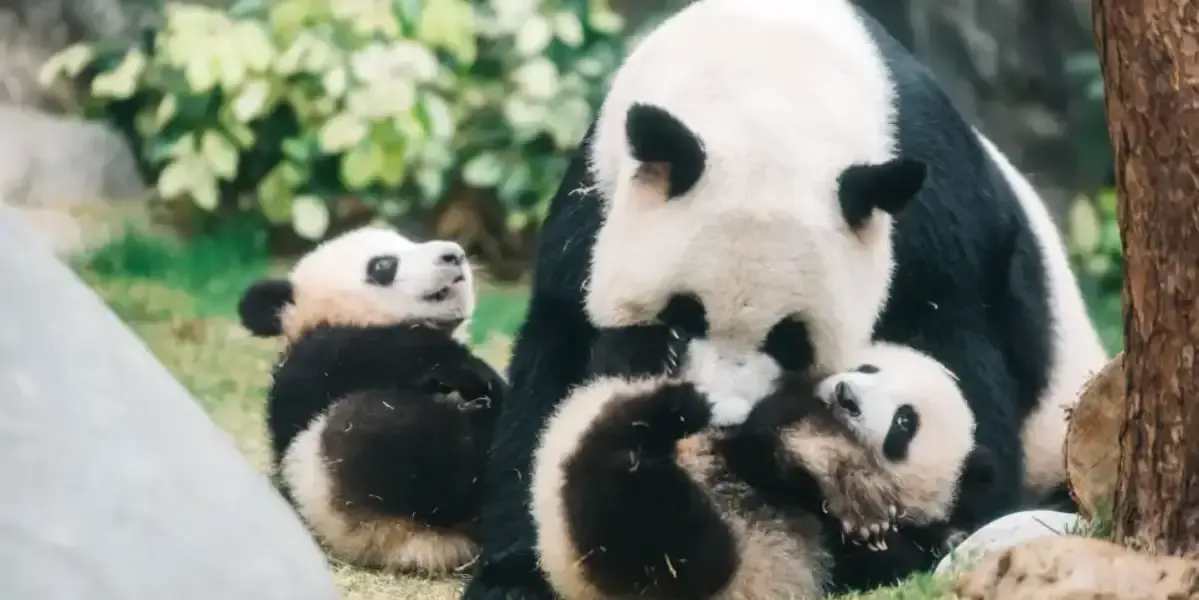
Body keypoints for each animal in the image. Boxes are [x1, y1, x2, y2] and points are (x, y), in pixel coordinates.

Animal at [237, 225, 507, 573]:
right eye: (383, 265)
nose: (453, 255)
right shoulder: (316, 363)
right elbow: (377, 353)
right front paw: (472, 371)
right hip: (340, 482)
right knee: (396, 437)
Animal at [530, 341, 993, 600]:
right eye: (868, 369)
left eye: (905, 422)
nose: (846, 396)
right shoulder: (767, 423)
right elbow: (765, 439)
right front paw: (853, 493)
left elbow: (894, 559)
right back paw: (672, 405)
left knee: (661, 539)